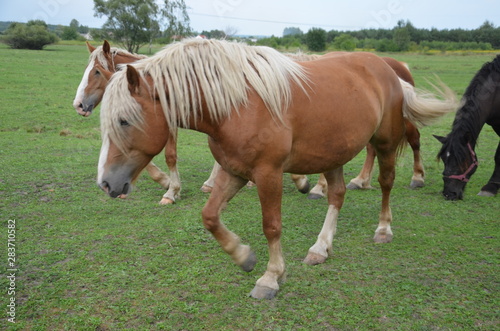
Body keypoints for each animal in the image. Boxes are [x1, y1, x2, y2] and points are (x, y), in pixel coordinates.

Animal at [94, 39, 458, 300]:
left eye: (123, 120)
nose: (106, 184)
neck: (236, 105)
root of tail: (387, 68)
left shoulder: (268, 174)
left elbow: (271, 226)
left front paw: (270, 277)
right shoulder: (234, 170)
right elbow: (209, 216)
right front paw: (243, 255)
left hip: (384, 142)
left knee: (385, 183)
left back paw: (383, 228)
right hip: (333, 154)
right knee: (336, 196)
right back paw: (320, 248)